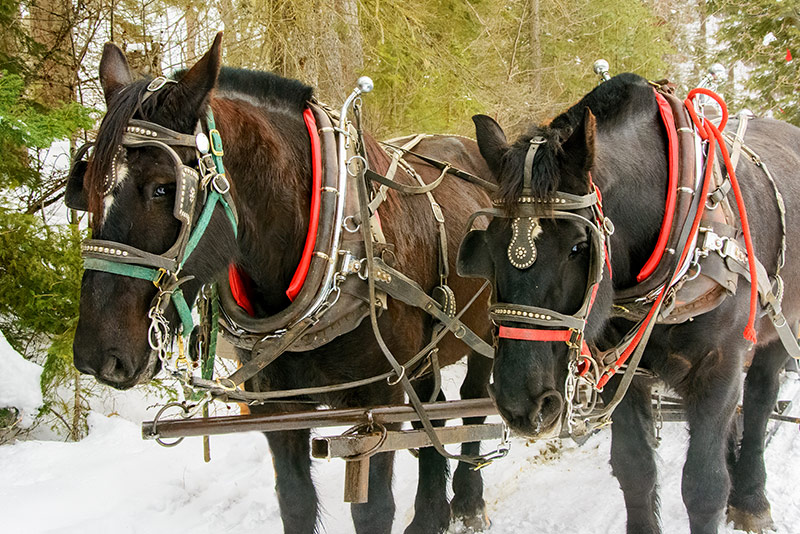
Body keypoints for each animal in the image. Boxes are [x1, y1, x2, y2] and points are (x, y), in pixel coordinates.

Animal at [69, 35, 496, 532]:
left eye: (163, 188)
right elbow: (295, 501)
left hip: (482, 335)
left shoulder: (378, 405)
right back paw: (431, 512)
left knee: (472, 400)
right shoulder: (278, 408)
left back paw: (467, 499)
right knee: (435, 412)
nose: (97, 355)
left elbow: (374, 510)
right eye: (84, 188)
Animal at [460, 72, 800, 534]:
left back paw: (751, 498)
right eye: (490, 247)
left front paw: (728, 492)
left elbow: (704, 485)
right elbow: (634, 468)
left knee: (762, 398)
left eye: (578, 247)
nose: (520, 403)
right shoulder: (618, 368)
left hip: (782, 327)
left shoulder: (720, 365)